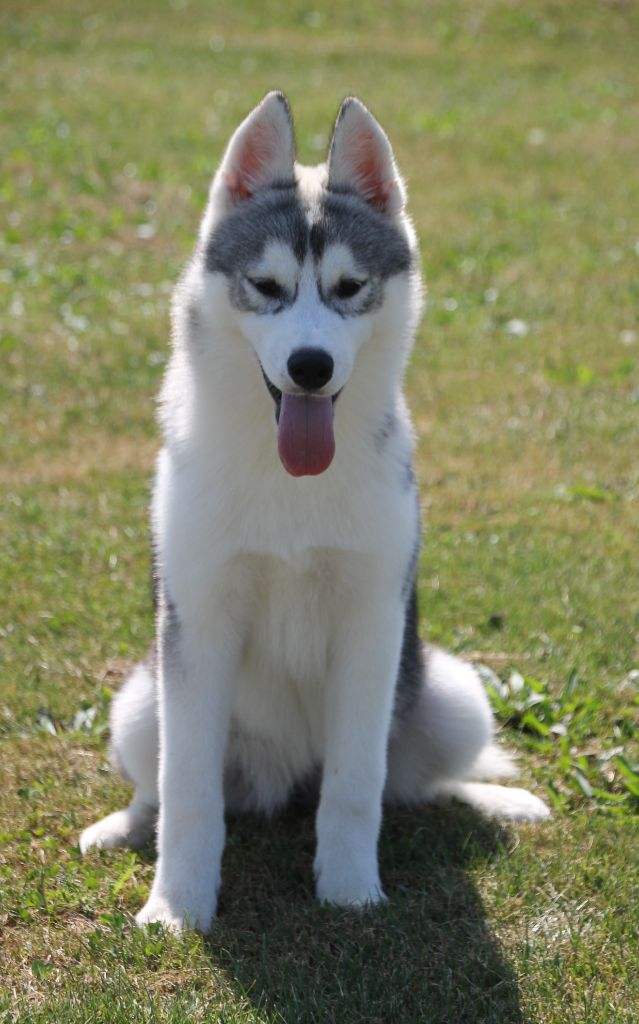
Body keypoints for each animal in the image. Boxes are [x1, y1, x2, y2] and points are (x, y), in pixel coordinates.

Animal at [80, 92, 549, 932]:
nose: (309, 367)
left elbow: (357, 789)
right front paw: (176, 908)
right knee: (157, 787)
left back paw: (491, 797)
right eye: (266, 286)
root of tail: (287, 777)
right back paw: (121, 825)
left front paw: (352, 892)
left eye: (349, 286)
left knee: (413, 784)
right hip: (139, 701)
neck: (289, 478)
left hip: (454, 692)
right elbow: (189, 795)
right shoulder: (197, 624)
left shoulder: (372, 623)